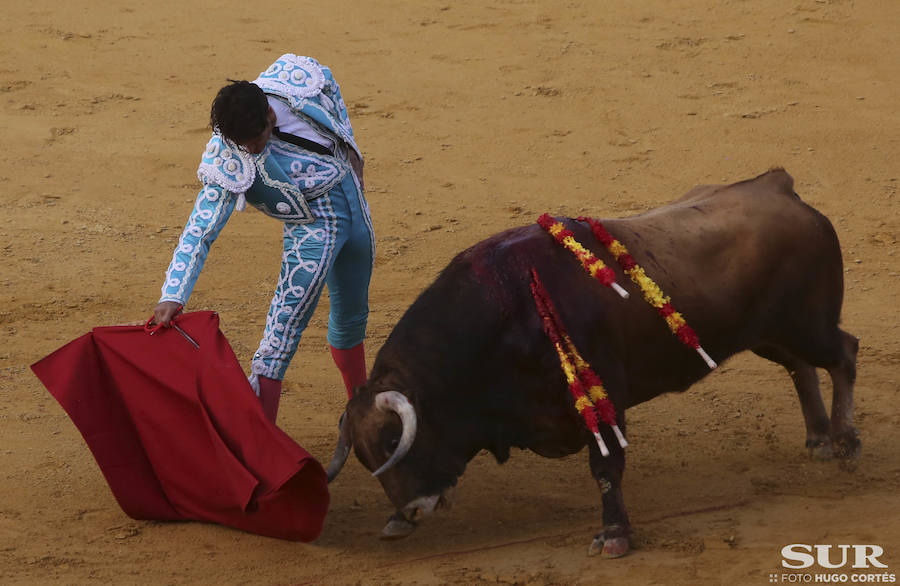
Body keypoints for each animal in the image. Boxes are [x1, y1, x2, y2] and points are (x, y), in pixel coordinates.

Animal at [328, 169, 856, 556]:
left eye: (394, 439)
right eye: (364, 456)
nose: (405, 517)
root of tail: (778, 186)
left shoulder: (604, 400)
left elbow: (605, 468)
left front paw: (615, 536)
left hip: (807, 324)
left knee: (843, 354)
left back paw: (846, 442)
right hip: (770, 333)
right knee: (800, 366)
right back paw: (818, 440)